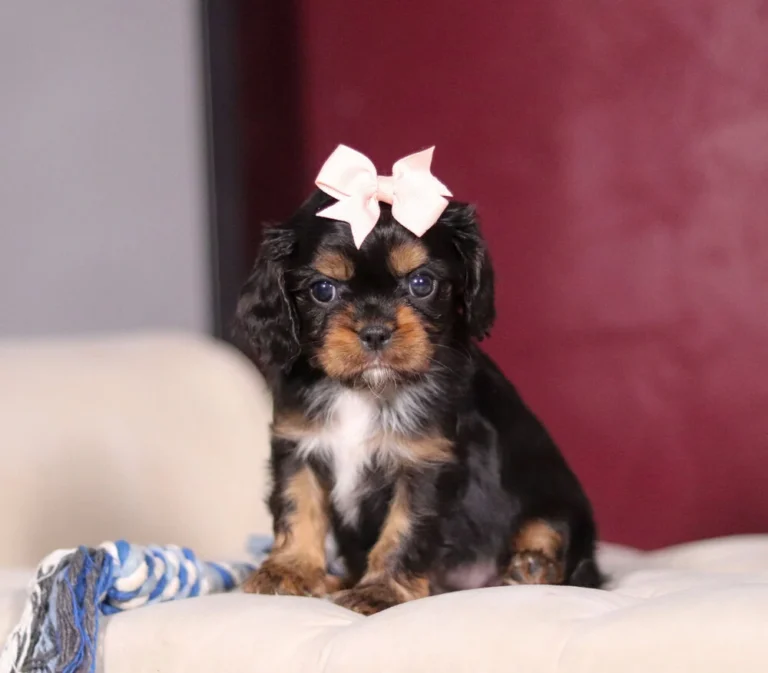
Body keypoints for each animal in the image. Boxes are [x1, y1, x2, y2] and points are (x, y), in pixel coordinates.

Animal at [234, 189, 608, 616]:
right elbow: (298, 505)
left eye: (421, 283)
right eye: (323, 290)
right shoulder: (299, 445)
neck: (363, 390)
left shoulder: (426, 463)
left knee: (555, 541)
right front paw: (291, 570)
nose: (375, 332)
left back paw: (531, 569)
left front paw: (381, 591)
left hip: (559, 509)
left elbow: (404, 530)